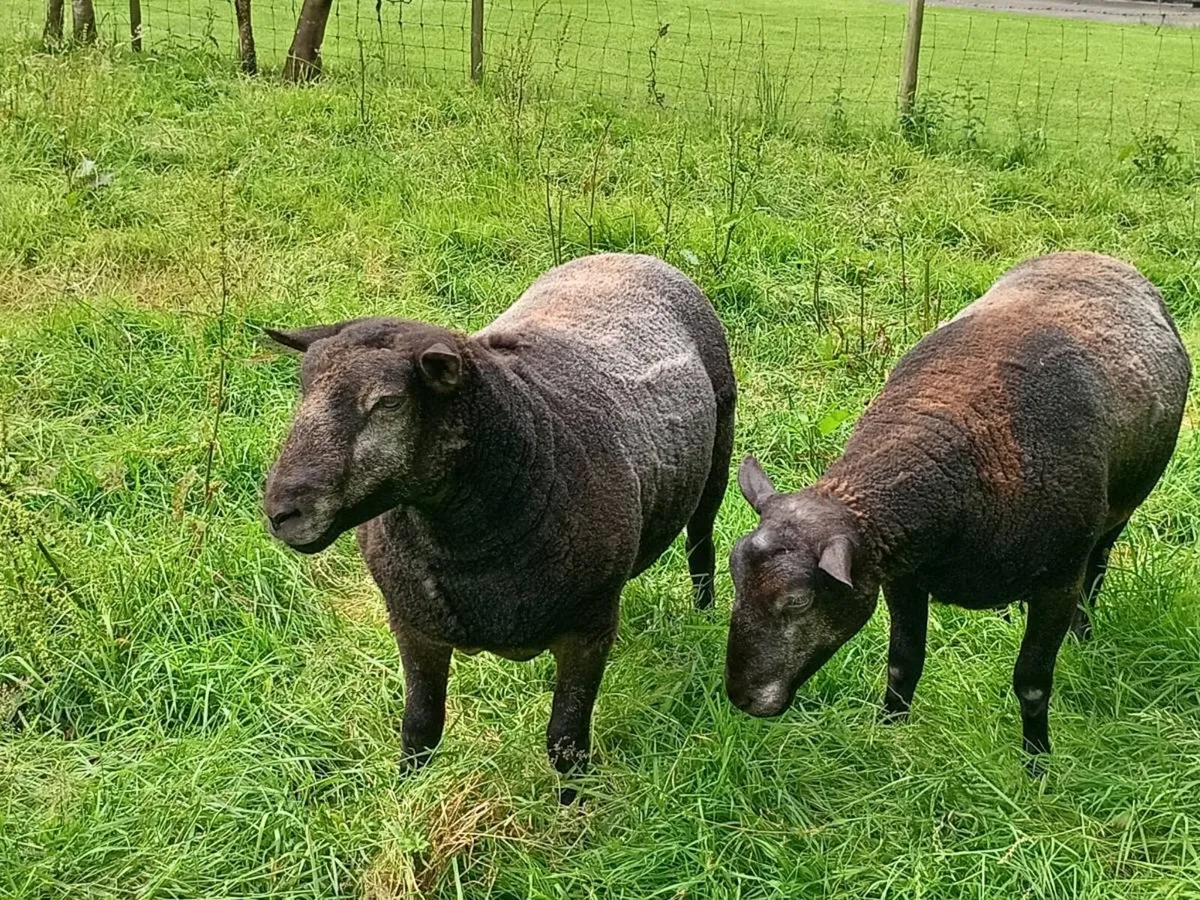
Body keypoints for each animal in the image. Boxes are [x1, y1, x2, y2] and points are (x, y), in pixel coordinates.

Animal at [262, 253, 735, 801]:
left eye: (389, 403)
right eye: (302, 389)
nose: (281, 512)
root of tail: (630, 255)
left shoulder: (590, 626)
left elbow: (566, 743)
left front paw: (572, 810)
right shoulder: (413, 624)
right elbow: (419, 730)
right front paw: (404, 799)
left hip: (718, 455)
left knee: (701, 545)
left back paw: (703, 614)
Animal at [725, 251, 1190, 768]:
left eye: (799, 601)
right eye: (734, 578)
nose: (740, 697)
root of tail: (1096, 257)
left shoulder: (1057, 582)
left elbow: (1032, 684)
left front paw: (1037, 764)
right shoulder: (903, 577)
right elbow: (902, 664)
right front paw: (889, 735)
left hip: (1115, 518)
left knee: (1098, 568)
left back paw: (1082, 635)